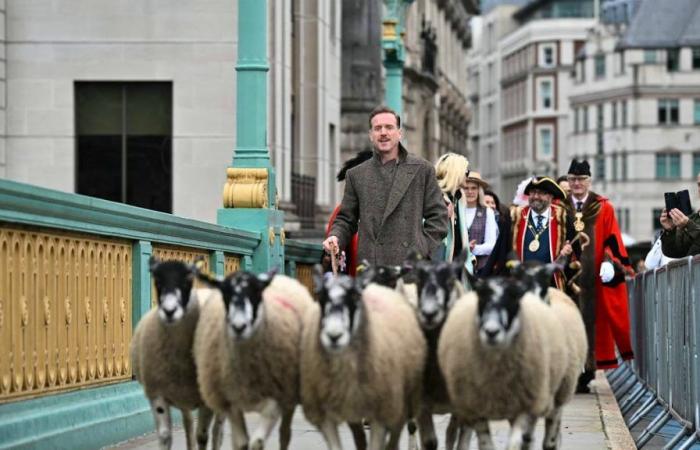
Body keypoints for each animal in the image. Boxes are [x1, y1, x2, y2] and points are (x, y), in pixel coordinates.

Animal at [129, 256, 221, 450]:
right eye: (157, 281)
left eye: (188, 280)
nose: (169, 311)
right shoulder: (157, 394)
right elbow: (165, 437)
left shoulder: (206, 400)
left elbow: (203, 436)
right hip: (183, 395)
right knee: (188, 424)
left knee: (218, 430)